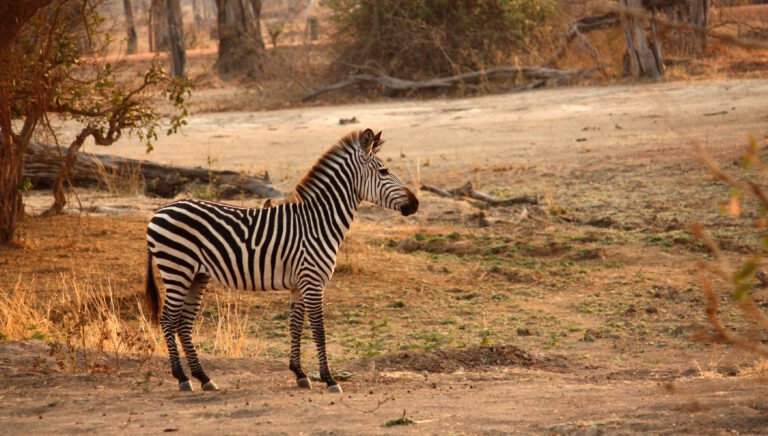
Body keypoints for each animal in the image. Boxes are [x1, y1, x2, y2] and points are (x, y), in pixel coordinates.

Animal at [145, 129, 419, 393]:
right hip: (177, 269)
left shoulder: (299, 283)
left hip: (196, 275)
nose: (415, 203)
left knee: (184, 322)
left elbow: (296, 325)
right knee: (168, 320)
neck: (318, 222)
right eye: (384, 171)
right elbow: (318, 329)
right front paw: (329, 379)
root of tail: (159, 211)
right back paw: (182, 378)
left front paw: (300, 374)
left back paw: (203, 378)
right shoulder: (313, 281)